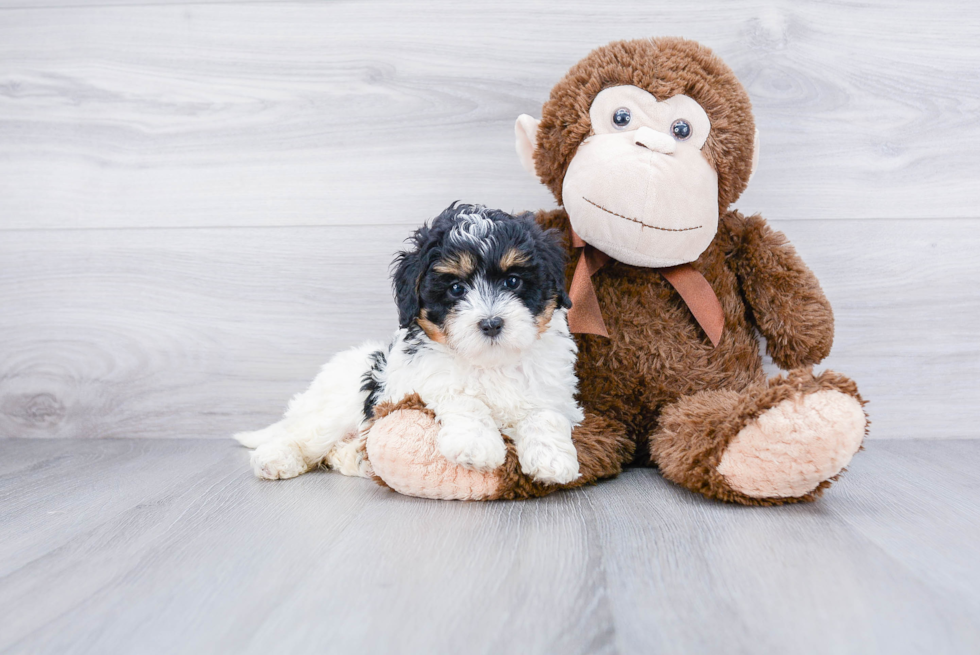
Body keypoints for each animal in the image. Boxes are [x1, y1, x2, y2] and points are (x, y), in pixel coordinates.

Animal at [235, 205, 580, 486]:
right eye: (456, 289)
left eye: (513, 282)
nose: (492, 323)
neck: (490, 363)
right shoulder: (424, 382)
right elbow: (464, 399)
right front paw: (477, 445)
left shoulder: (553, 391)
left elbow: (545, 414)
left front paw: (553, 459)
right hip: (337, 406)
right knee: (305, 436)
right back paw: (274, 459)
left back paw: (356, 459)